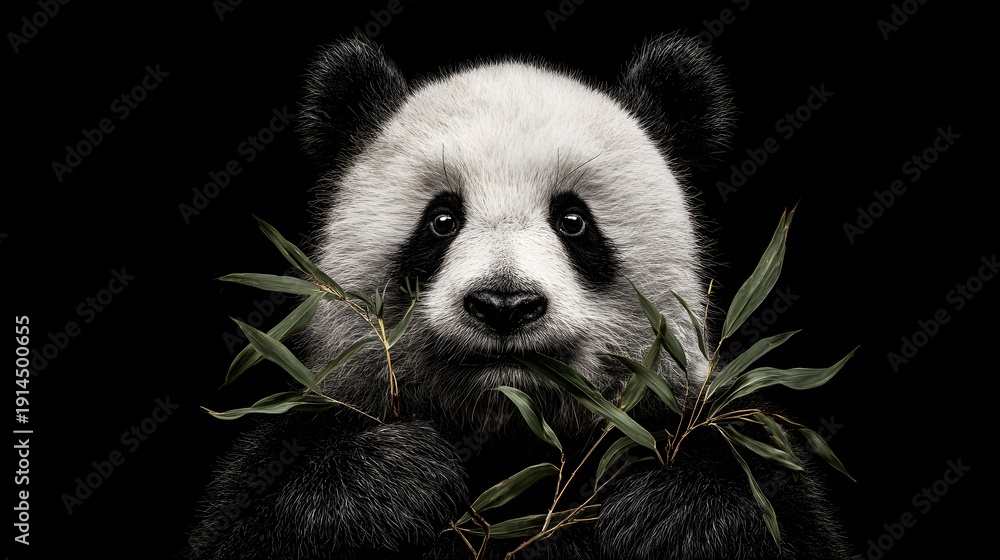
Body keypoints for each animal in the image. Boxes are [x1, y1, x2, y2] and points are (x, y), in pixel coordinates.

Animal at [187, 34, 852, 559]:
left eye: (574, 221)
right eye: (442, 220)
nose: (504, 305)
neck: (509, 433)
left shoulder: (717, 435)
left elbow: (756, 501)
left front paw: (674, 506)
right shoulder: (304, 428)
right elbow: (267, 510)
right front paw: (391, 481)